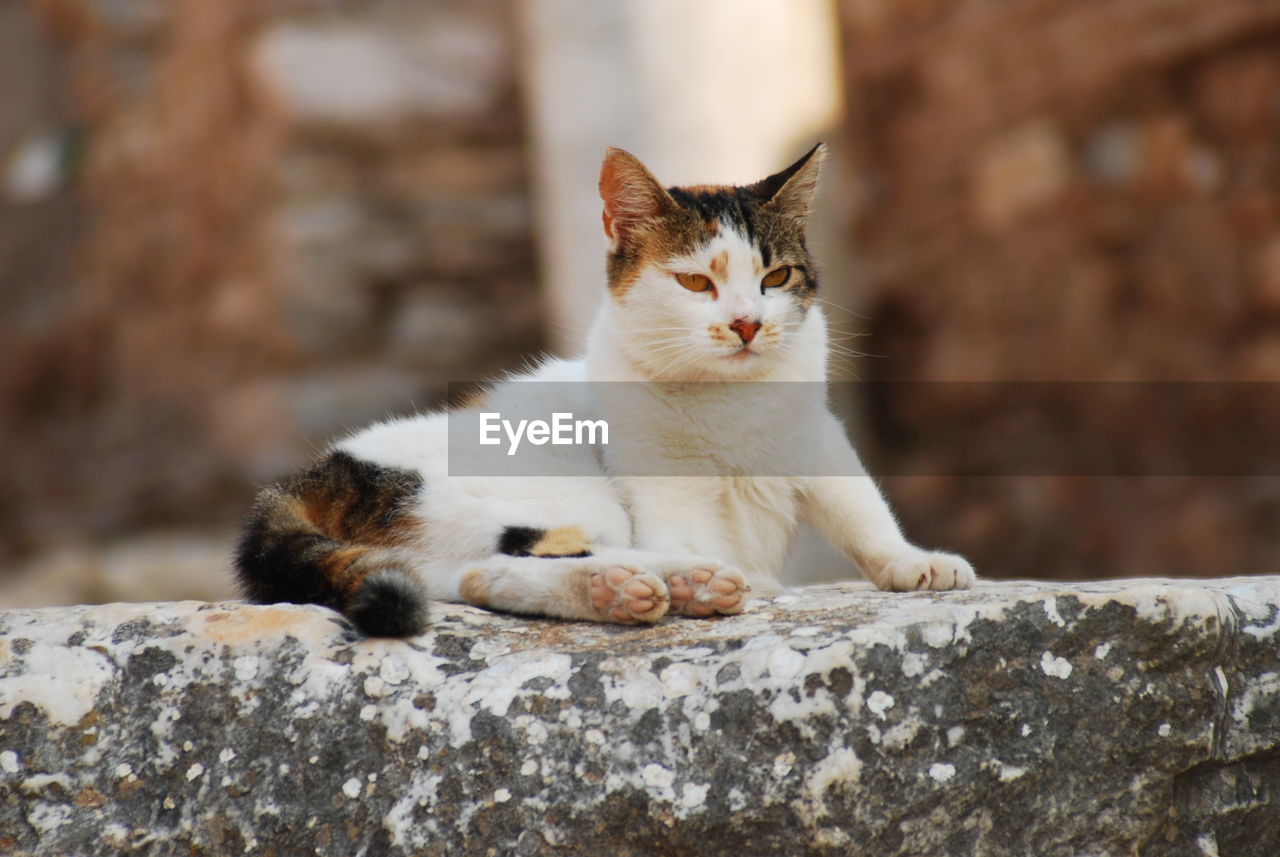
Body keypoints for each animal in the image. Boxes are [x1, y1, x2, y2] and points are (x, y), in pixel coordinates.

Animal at [235, 144, 972, 636]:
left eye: (776, 277)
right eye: (695, 282)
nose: (747, 323)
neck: (732, 399)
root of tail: (321, 469)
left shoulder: (819, 436)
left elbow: (862, 509)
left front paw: (912, 563)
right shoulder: (660, 487)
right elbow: (688, 528)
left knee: (472, 574)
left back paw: (658, 587)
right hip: (558, 488)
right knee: (516, 558)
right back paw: (655, 583)